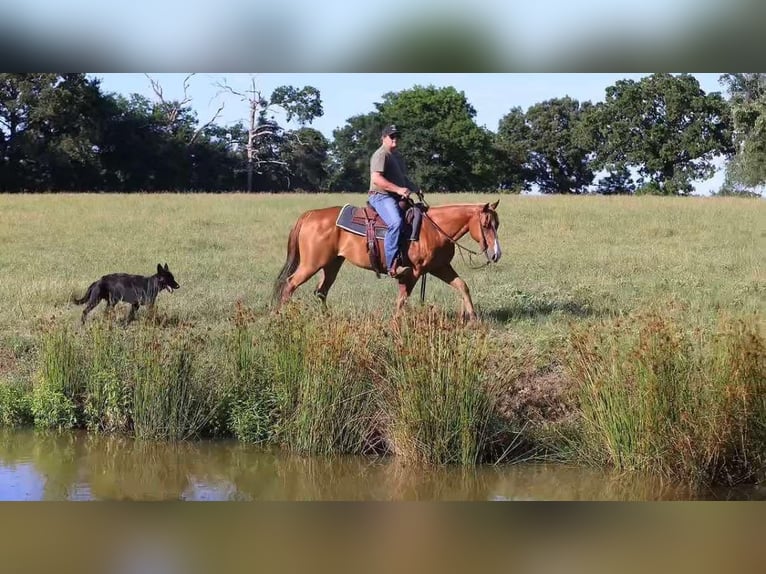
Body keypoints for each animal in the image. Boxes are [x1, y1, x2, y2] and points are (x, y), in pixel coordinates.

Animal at [272, 199, 501, 321]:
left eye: (497, 224)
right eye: (486, 224)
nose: (496, 254)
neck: (434, 228)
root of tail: (310, 215)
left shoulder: (440, 267)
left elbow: (462, 286)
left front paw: (473, 320)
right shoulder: (414, 271)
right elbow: (402, 298)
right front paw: (397, 324)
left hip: (332, 264)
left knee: (321, 291)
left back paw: (326, 318)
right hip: (311, 264)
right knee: (289, 285)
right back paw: (281, 316)